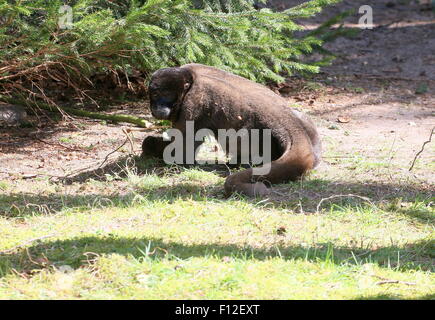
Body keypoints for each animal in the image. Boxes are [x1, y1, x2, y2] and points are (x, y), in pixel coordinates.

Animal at [141, 63, 322, 196]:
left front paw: (153, 148)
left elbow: (183, 151)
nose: (158, 107)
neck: (189, 80)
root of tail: (285, 119)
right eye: (155, 94)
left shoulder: (191, 104)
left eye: (165, 94)